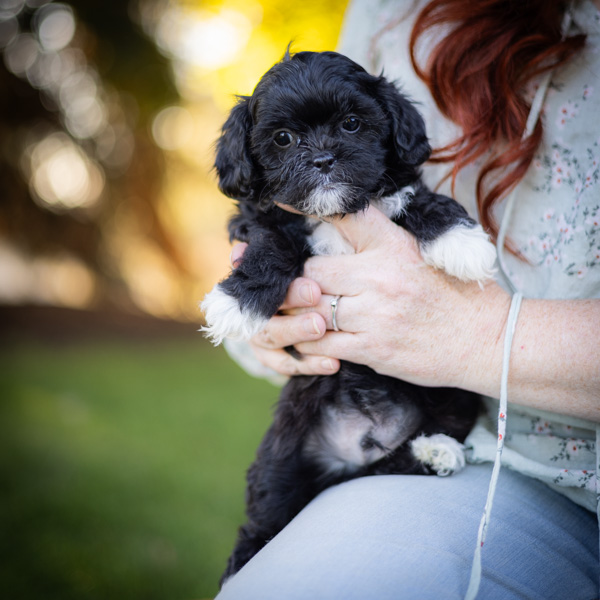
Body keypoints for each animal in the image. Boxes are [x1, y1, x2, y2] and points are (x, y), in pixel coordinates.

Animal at [202, 51, 492, 584]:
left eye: (352, 124)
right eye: (283, 138)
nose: (323, 160)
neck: (334, 216)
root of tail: (351, 454)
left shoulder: (397, 192)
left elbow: (419, 199)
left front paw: (461, 241)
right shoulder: (261, 219)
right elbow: (272, 242)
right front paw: (238, 301)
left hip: (453, 397)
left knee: (393, 464)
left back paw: (435, 451)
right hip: (280, 461)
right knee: (264, 519)